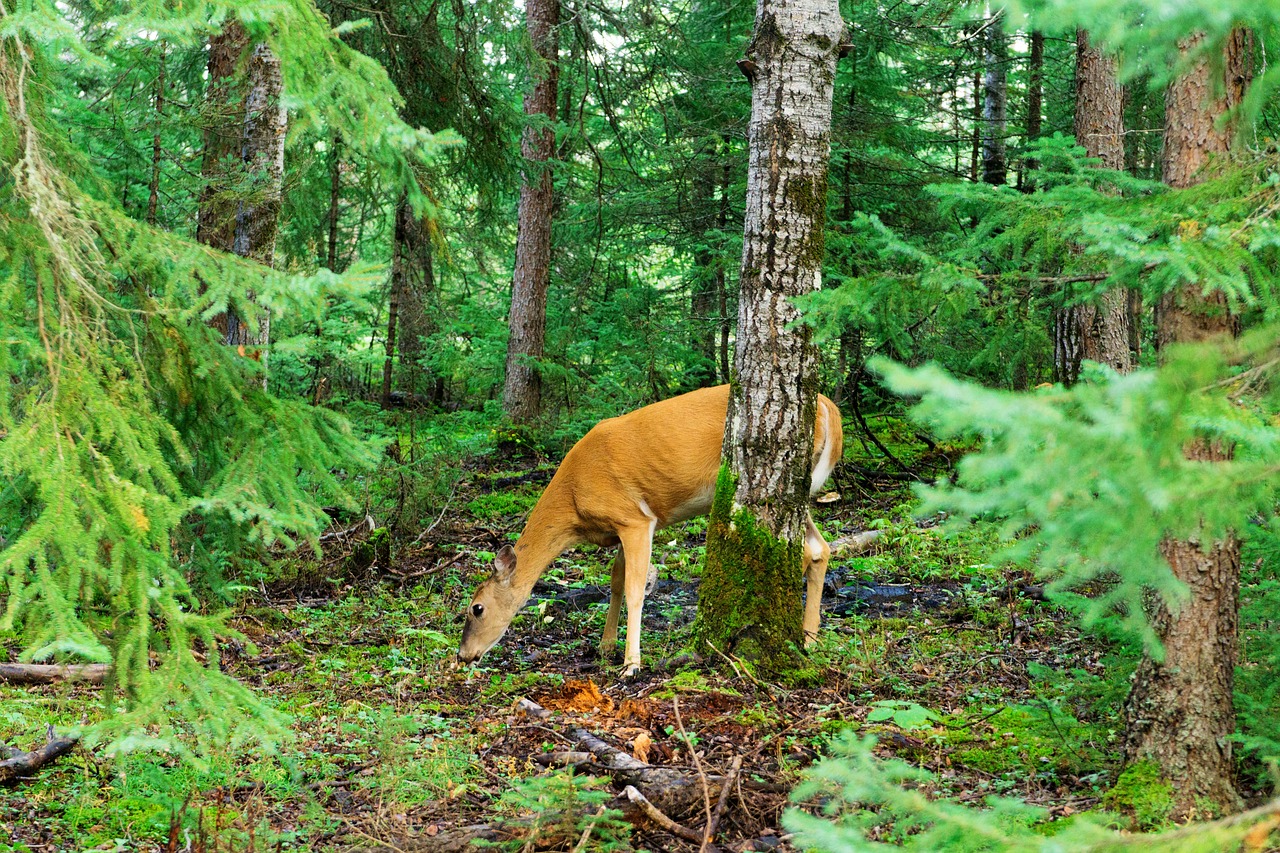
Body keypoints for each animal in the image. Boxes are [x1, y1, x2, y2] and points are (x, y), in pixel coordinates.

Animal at [455, 381, 844, 676]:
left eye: (477, 608)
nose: (463, 655)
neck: (574, 502)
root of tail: (829, 408)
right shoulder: (619, 527)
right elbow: (614, 581)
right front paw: (605, 646)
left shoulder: (635, 518)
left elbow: (634, 588)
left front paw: (631, 663)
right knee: (820, 548)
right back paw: (810, 637)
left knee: (804, 549)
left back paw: (799, 634)